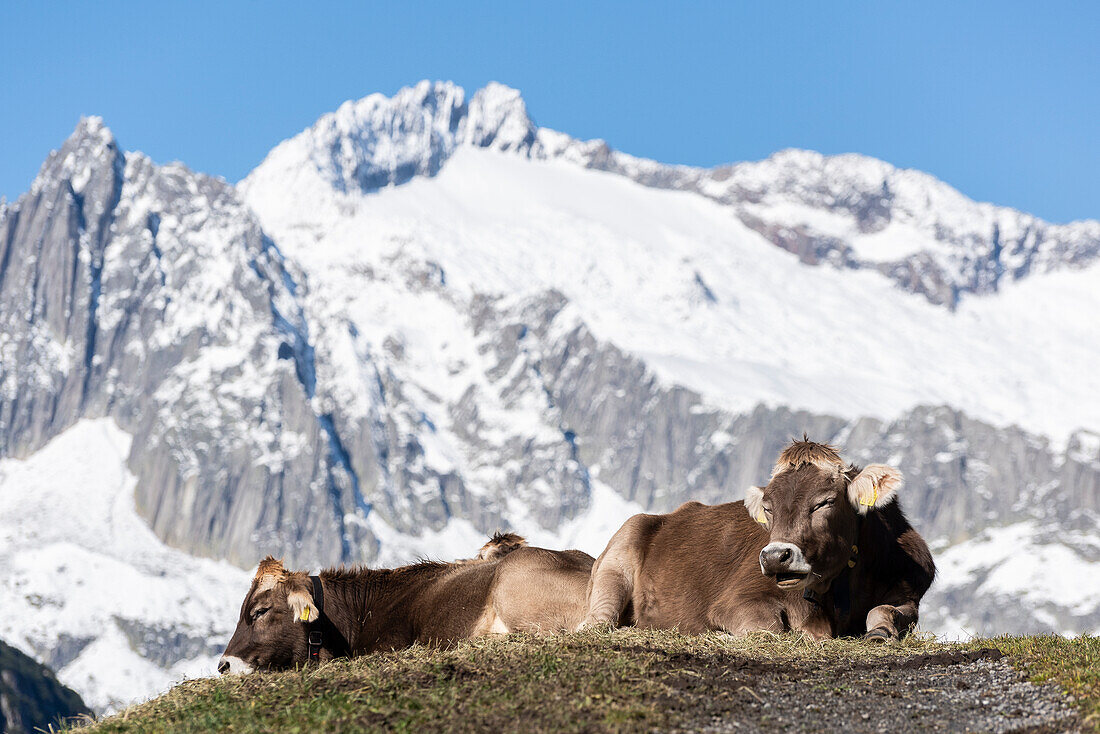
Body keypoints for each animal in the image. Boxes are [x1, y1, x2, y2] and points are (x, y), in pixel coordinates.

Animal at [580, 440, 932, 638]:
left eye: (824, 502)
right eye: (768, 507)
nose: (776, 556)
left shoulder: (909, 592)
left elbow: (884, 611)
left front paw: (881, 632)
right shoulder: (734, 601)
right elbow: (771, 629)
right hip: (617, 560)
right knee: (599, 621)